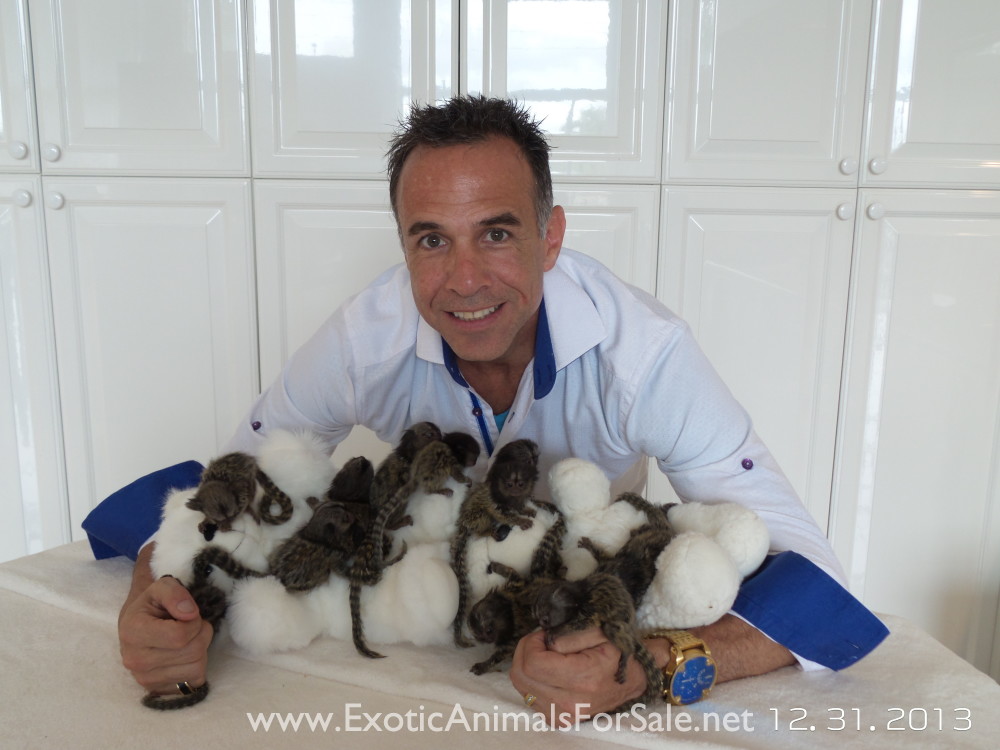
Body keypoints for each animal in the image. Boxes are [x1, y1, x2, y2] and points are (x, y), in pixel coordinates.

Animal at [450, 439, 541, 647]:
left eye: (531, 460)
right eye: (509, 483)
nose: (515, 487)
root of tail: (463, 522)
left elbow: (520, 505)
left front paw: (526, 510)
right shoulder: (493, 499)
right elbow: (499, 513)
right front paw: (520, 520)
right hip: (473, 519)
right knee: (483, 517)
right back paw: (487, 531)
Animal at [531, 572, 663, 711]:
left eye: (545, 619)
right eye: (537, 619)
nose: (542, 625)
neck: (579, 598)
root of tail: (632, 629)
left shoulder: (589, 609)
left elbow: (582, 624)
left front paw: (556, 631)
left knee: (610, 627)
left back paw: (627, 651)